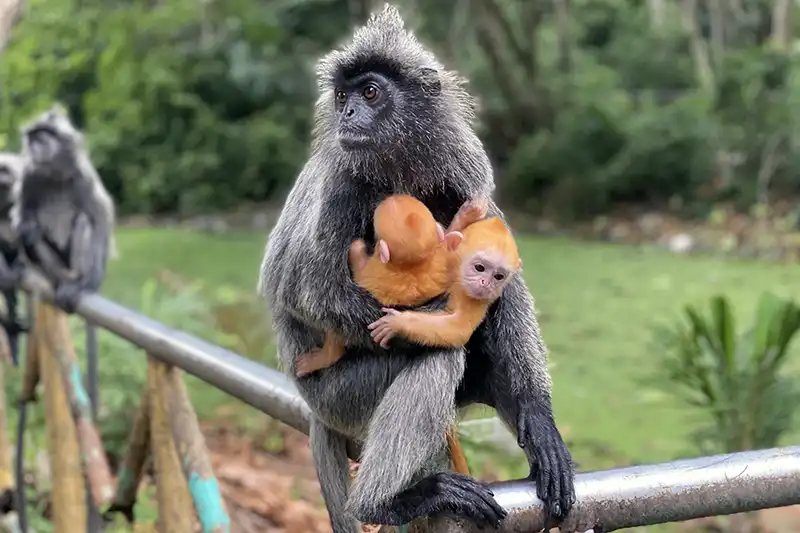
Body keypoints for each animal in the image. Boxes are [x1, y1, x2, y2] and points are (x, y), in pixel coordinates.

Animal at [15, 103, 117, 314]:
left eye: (40, 138)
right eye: (31, 139)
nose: (32, 148)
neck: (54, 173)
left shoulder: (83, 176)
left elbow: (100, 217)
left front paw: (93, 280)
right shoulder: (29, 175)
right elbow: (23, 218)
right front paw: (28, 227)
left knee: (84, 220)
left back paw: (76, 281)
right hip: (57, 265)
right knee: (31, 235)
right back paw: (59, 279)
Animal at [293, 194, 475, 378]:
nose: (393, 197)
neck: (413, 269)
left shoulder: (374, 272)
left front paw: (356, 247)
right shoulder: (443, 261)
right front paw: (464, 217)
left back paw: (326, 356)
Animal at [368, 216, 522, 350]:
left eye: (498, 276)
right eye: (479, 267)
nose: (486, 283)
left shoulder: (477, 298)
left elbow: (460, 327)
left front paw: (397, 323)